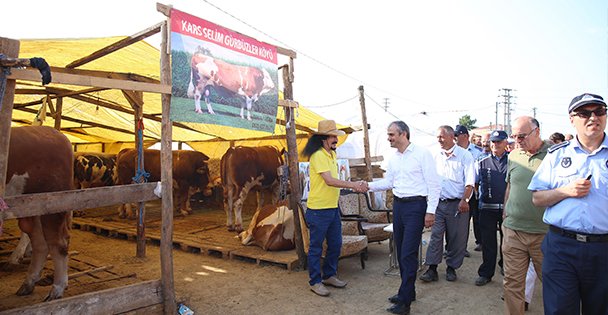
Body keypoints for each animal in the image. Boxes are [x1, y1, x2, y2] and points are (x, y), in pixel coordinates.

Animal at [4, 126, 73, 302]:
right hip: (33, 208)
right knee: (40, 243)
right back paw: (28, 284)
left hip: (53, 203)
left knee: (58, 243)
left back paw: (56, 290)